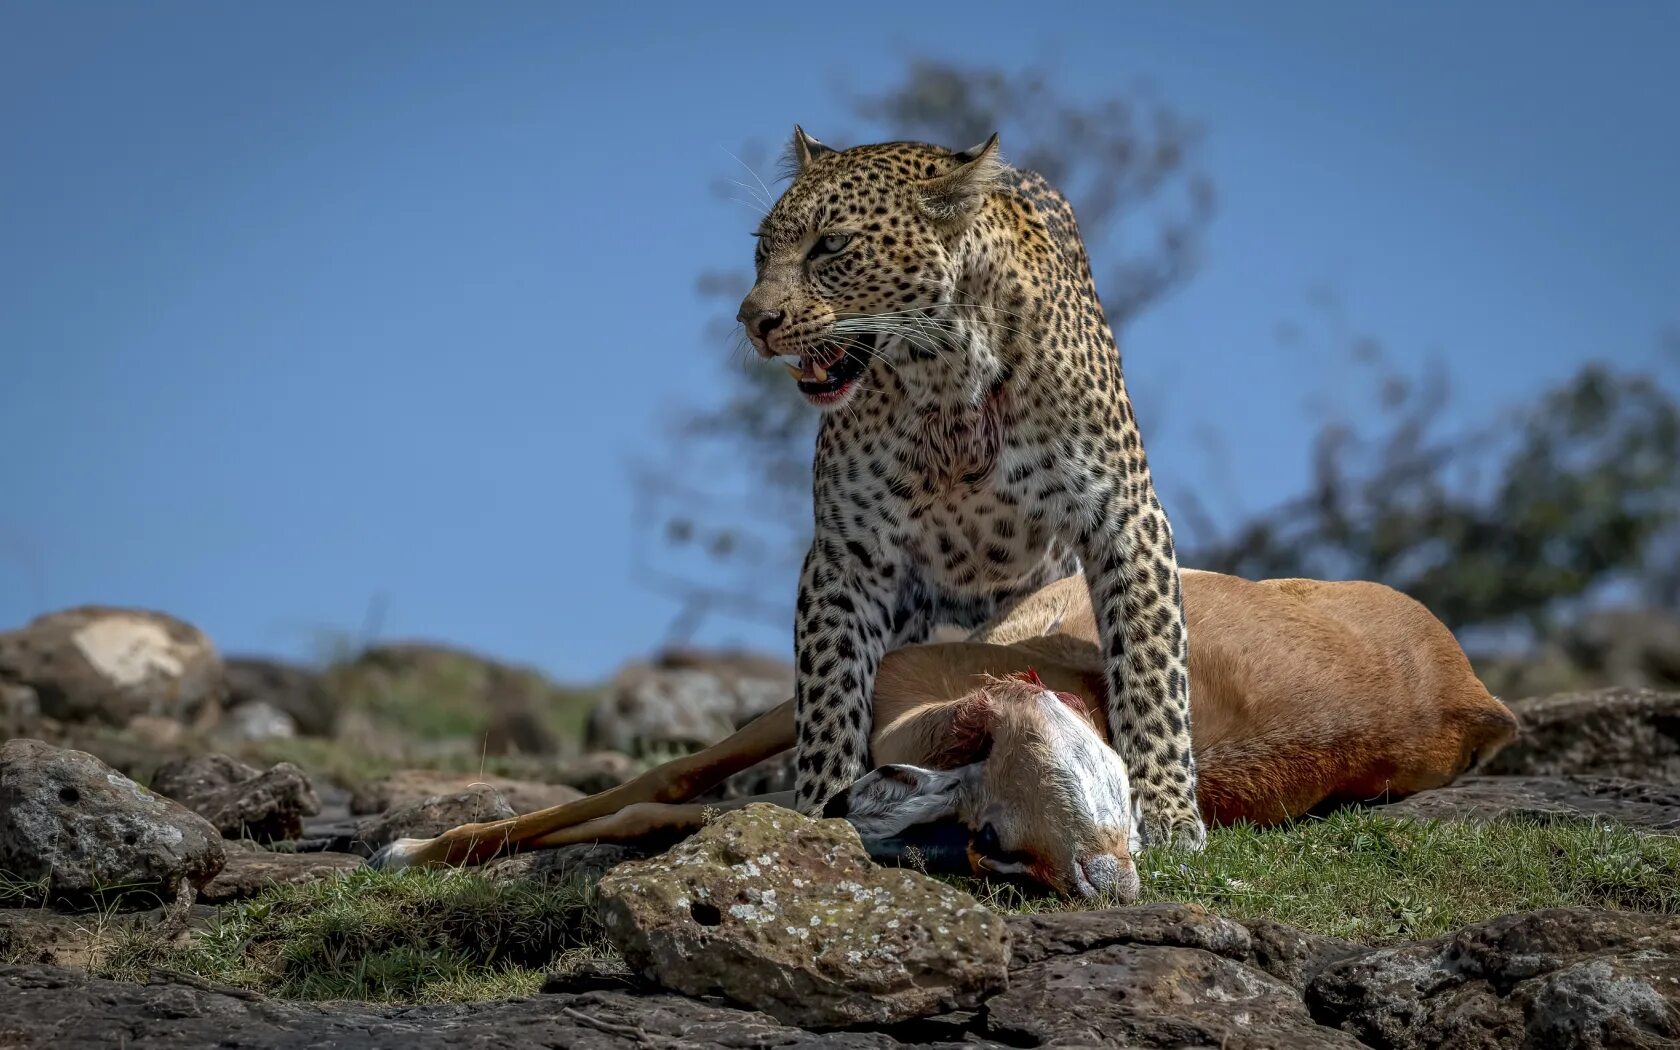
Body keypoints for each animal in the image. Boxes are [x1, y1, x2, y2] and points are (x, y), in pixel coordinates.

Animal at [739, 126, 1209, 846]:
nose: (751, 319)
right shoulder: (847, 551)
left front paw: (1166, 808)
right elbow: (829, 690)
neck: (945, 372)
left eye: (832, 245)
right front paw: (820, 808)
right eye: (763, 251)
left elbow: (1152, 665)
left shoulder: (1127, 515)